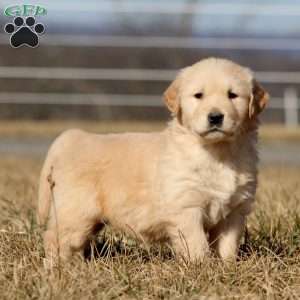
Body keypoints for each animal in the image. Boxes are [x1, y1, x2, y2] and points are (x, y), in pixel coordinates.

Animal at [38, 57, 270, 262]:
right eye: (198, 95)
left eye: (233, 95)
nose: (215, 117)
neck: (217, 152)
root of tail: (70, 137)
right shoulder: (187, 208)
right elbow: (197, 245)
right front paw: (202, 268)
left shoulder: (234, 211)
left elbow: (227, 246)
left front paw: (226, 267)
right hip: (75, 212)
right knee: (55, 239)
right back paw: (58, 270)